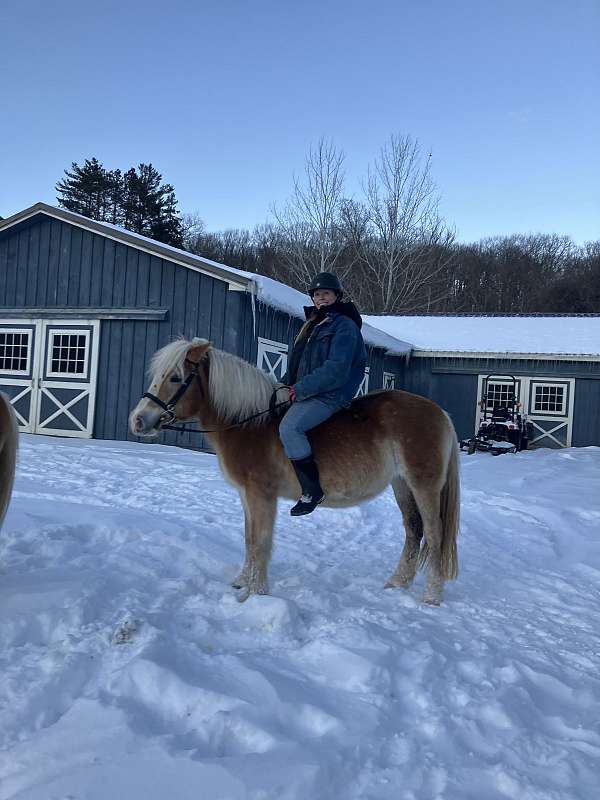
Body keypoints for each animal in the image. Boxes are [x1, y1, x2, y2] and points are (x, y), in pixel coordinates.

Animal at [129, 338, 460, 605]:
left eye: (175, 377)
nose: (138, 420)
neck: (250, 423)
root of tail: (440, 413)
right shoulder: (247, 496)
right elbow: (249, 538)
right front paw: (241, 582)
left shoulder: (261, 495)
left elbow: (260, 542)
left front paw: (255, 594)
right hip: (401, 484)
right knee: (413, 530)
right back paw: (396, 584)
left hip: (423, 485)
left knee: (434, 534)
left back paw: (431, 596)